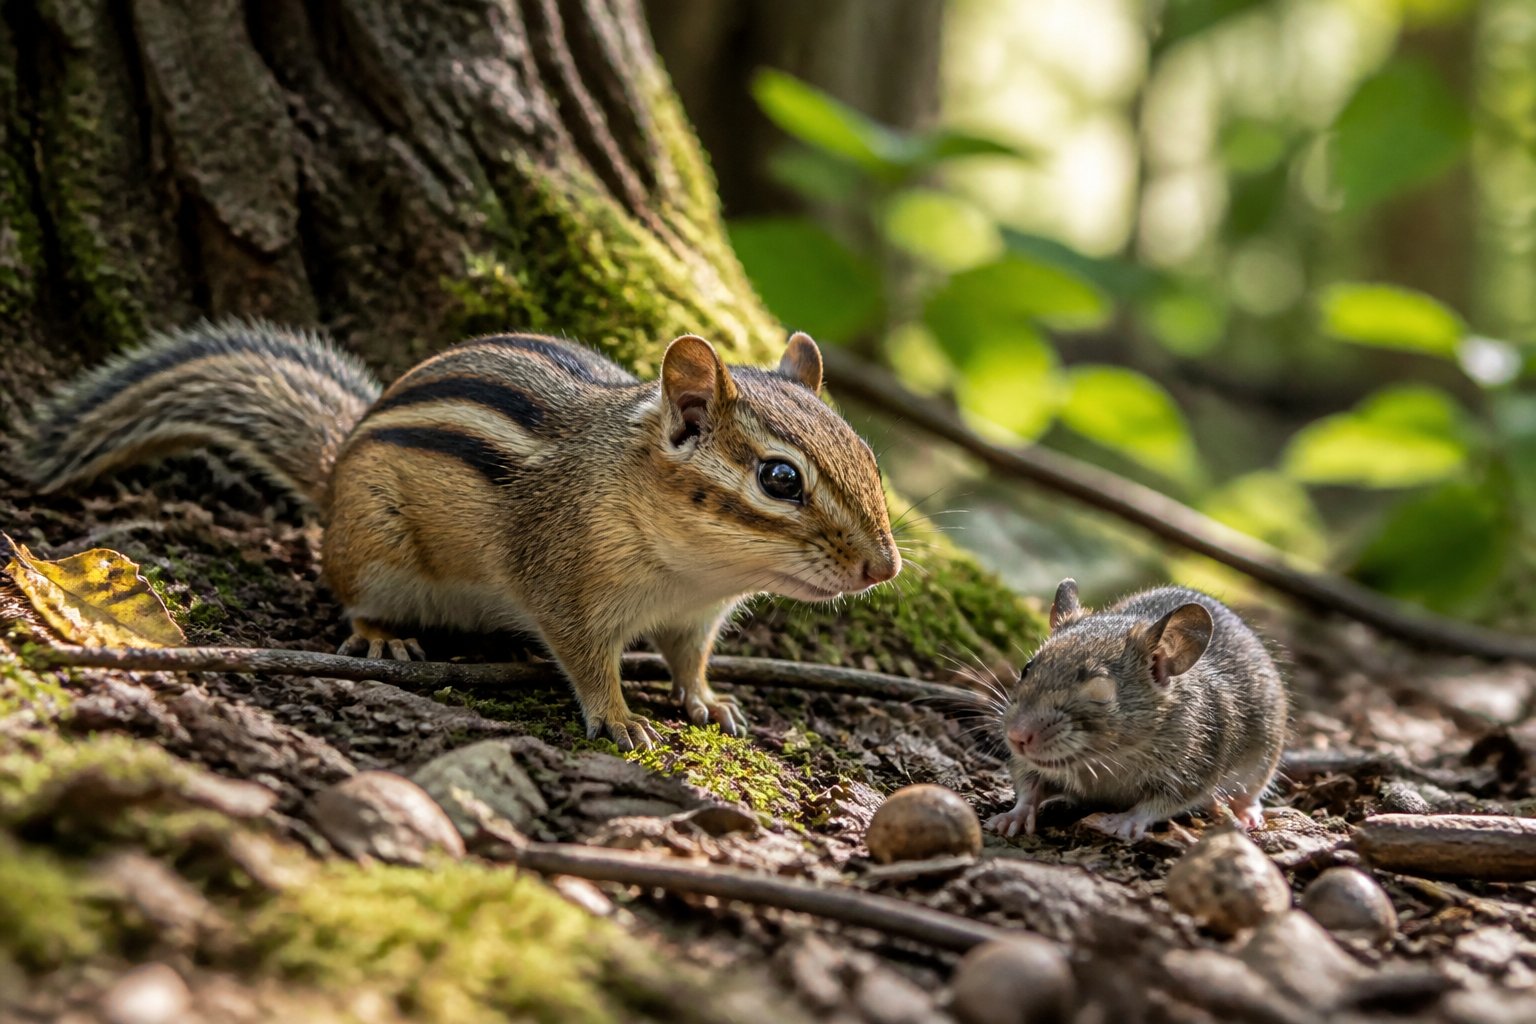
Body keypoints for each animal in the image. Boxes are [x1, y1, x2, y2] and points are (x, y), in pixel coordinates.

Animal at [21, 321, 901, 749]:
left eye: (868, 454)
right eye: (780, 479)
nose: (884, 569)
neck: (693, 569)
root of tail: (335, 470)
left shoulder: (694, 617)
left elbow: (690, 660)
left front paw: (709, 701)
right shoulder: (563, 583)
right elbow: (587, 661)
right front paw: (618, 716)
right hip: (372, 548)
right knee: (349, 591)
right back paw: (382, 636)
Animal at [986, 579, 1287, 842]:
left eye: (1101, 690)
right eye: (1027, 669)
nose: (1016, 737)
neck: (1108, 758)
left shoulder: (1192, 773)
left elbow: (1155, 805)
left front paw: (1124, 821)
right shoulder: (1027, 765)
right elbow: (1028, 787)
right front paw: (1012, 817)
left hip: (1265, 759)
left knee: (1252, 792)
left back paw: (1246, 813)